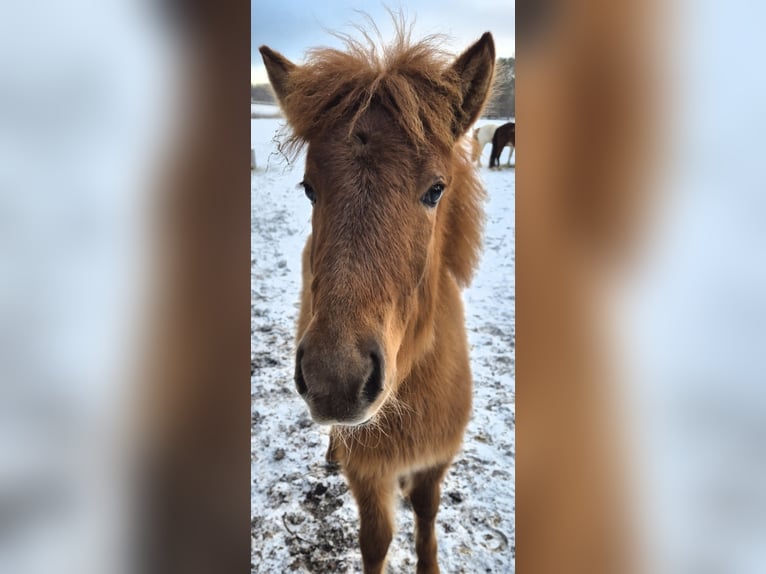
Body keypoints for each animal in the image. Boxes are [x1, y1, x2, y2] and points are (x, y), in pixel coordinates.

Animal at [260, 26, 495, 574]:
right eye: (309, 188)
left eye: (436, 189)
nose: (336, 381)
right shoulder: (369, 472)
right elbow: (376, 540)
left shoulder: (435, 461)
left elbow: (426, 515)